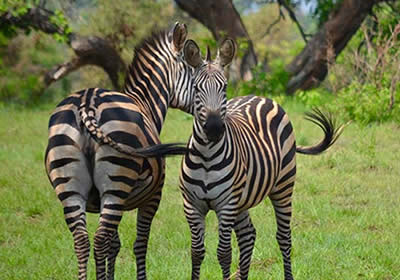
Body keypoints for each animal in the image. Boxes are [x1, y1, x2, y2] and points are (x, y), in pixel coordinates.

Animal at [43, 22, 194, 280]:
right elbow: (139, 244)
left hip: (75, 188)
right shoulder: (153, 196)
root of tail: (87, 103)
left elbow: (114, 245)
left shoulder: (115, 202)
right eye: (197, 72)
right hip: (116, 185)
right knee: (99, 239)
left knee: (82, 240)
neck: (144, 103)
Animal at [179, 38, 344, 278]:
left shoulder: (226, 204)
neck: (207, 157)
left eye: (224, 87)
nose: (214, 129)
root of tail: (259, 96)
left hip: (283, 187)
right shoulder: (191, 205)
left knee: (284, 238)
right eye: (196, 88)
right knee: (248, 235)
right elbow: (196, 252)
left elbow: (223, 253)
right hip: (242, 200)